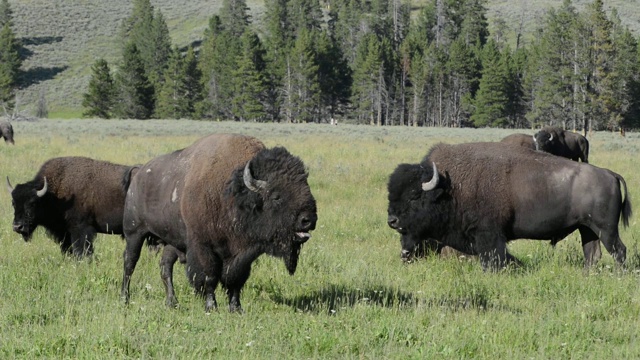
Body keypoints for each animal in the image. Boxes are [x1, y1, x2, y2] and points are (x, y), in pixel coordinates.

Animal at [6, 156, 138, 258]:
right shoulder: (64, 232)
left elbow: (81, 250)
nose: (17, 227)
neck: (53, 193)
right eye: (13, 203)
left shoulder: (80, 229)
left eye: (32, 203)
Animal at [120, 132, 318, 312]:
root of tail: (139, 174)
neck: (233, 194)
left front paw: (236, 308)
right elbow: (210, 276)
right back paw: (125, 298)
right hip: (134, 233)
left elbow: (236, 280)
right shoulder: (204, 247)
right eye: (276, 196)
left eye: (305, 186)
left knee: (165, 266)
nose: (308, 220)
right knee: (130, 263)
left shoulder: (243, 254)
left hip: (172, 241)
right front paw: (211, 306)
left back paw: (172, 303)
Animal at [384, 141, 632, 270]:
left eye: (414, 195)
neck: (450, 187)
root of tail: (610, 174)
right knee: (592, 253)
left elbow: (493, 257)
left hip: (606, 229)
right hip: (587, 229)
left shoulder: (489, 235)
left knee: (619, 250)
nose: (392, 221)